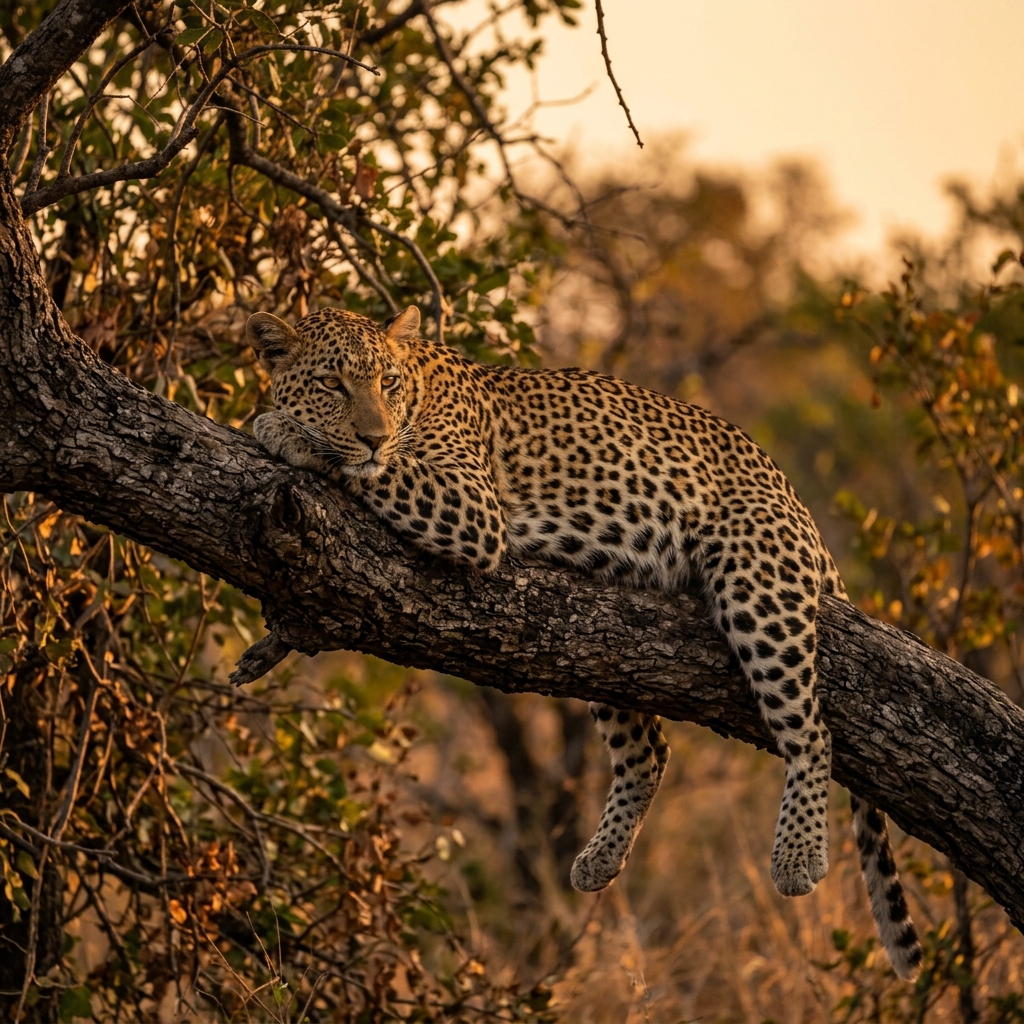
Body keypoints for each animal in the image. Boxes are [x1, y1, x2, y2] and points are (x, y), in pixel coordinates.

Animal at [245, 304, 923, 980]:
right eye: (332, 384)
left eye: (386, 383)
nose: (374, 436)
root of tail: (793, 498)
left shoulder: (471, 508)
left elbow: (376, 470)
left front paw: (283, 430)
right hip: (604, 650)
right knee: (649, 752)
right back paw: (598, 861)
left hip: (757, 583)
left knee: (812, 730)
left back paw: (798, 857)